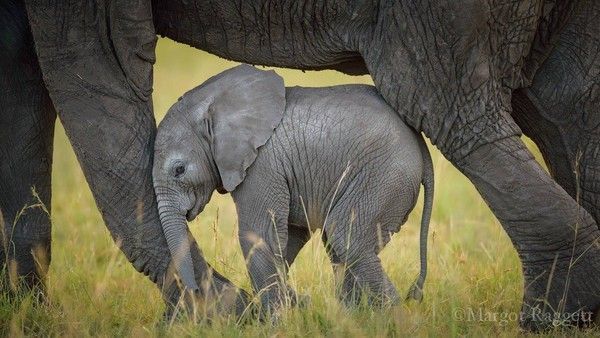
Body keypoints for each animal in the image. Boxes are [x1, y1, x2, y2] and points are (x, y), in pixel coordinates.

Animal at [152, 64, 434, 314]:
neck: (214, 102)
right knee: (339, 247)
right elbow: (289, 236)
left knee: (347, 238)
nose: (194, 293)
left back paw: (393, 321)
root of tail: (420, 142)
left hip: (384, 177)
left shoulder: (262, 165)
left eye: (179, 170)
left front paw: (273, 324)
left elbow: (259, 235)